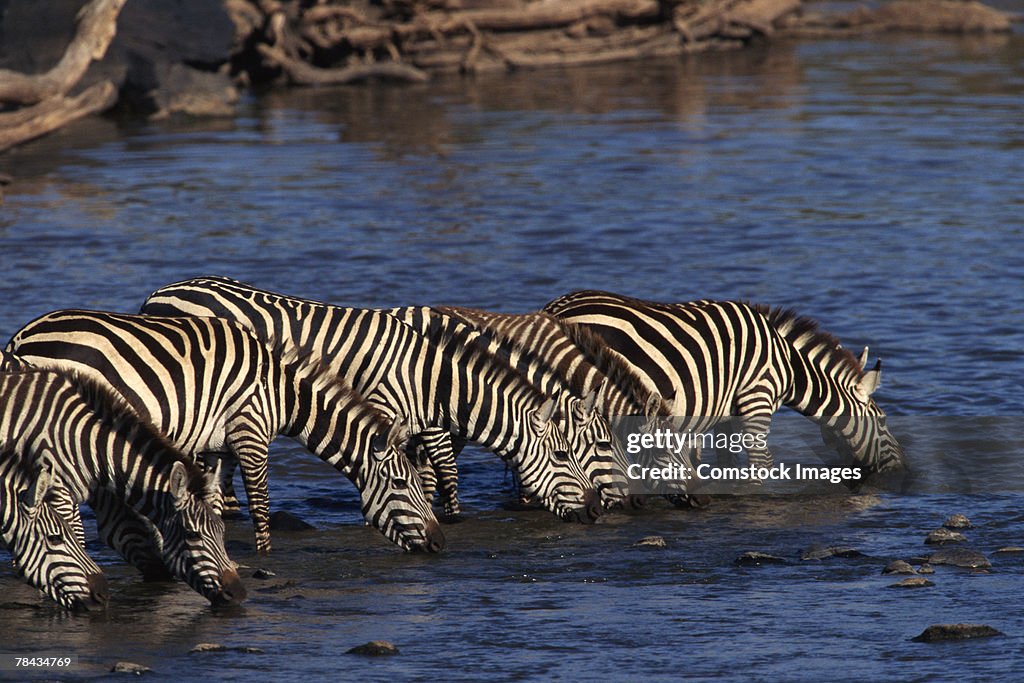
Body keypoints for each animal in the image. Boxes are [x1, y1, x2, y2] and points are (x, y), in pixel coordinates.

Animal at [4, 309, 444, 557]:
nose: (440, 544)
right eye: (403, 484)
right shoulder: (251, 431)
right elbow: (261, 504)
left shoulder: (217, 447)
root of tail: (22, 336)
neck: (281, 393)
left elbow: (214, 501)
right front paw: (265, 558)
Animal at [136, 274, 598, 520]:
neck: (437, 372)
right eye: (568, 454)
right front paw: (446, 515)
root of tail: (160, 292)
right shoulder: (403, 415)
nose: (597, 511)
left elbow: (430, 470)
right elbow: (443, 470)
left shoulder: (426, 423)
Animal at [544, 290, 905, 479]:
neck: (788, 365)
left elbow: (725, 462)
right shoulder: (758, 398)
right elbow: (760, 462)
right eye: (883, 420)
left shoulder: (725, 414)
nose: (902, 468)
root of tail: (553, 310)